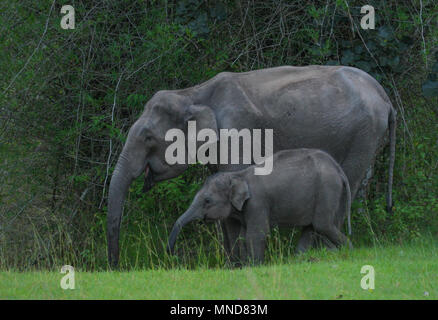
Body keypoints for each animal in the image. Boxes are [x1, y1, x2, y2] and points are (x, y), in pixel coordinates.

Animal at [166, 149, 350, 264]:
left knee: (322, 224)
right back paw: (299, 260)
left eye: (207, 201)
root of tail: (338, 169)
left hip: (327, 189)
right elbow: (241, 236)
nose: (172, 255)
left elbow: (255, 234)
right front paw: (246, 266)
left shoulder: (258, 203)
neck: (238, 175)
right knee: (310, 227)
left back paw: (349, 251)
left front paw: (255, 265)